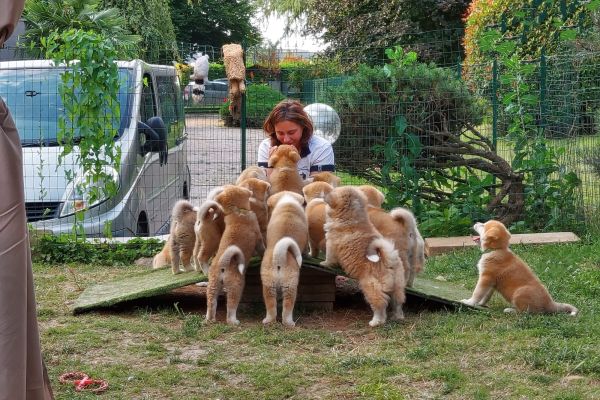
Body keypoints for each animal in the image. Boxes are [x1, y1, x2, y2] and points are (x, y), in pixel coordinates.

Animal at [260, 191, 308, 328]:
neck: (288, 202)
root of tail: (279, 256)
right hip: (290, 286)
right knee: (287, 308)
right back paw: (290, 323)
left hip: (268, 285)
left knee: (271, 307)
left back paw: (268, 321)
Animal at [322, 186, 406, 326]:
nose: (324, 193)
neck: (351, 216)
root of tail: (389, 261)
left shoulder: (331, 243)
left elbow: (329, 258)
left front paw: (324, 263)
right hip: (398, 287)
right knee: (398, 303)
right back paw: (397, 317)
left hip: (370, 287)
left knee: (380, 305)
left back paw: (376, 321)